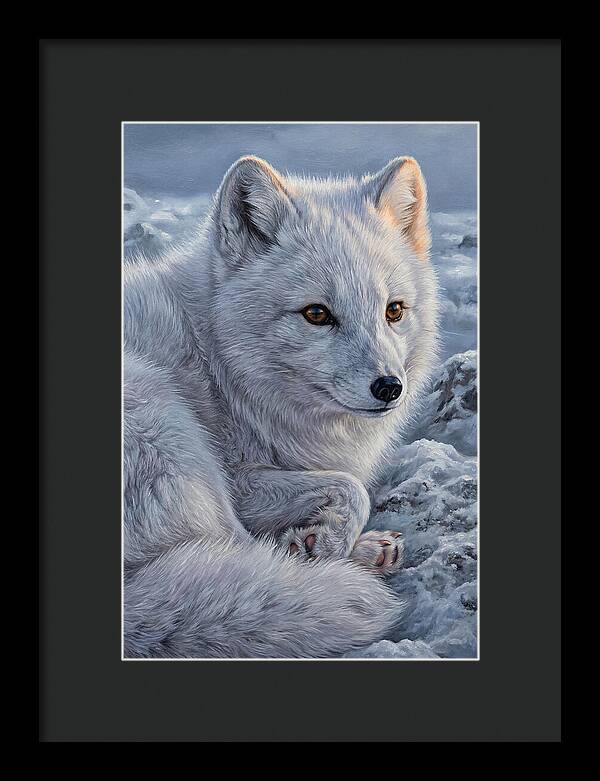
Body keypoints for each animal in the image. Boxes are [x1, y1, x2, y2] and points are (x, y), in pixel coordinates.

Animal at [123, 154, 439, 658]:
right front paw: (324, 544)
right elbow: (353, 487)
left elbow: (346, 487)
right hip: (167, 426)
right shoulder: (239, 479)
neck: (218, 363)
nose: (390, 387)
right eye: (316, 314)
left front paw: (322, 540)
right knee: (240, 552)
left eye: (394, 310)